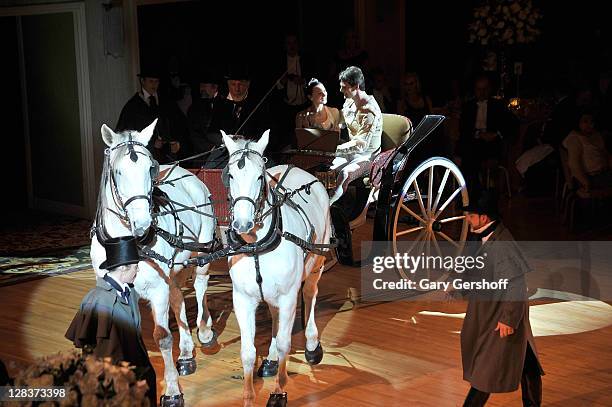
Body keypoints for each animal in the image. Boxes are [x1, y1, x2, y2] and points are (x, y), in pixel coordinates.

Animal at [89, 119, 216, 406]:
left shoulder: (157, 289)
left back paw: (204, 329)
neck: (126, 244)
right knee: (178, 296)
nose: (144, 226)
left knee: (200, 284)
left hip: (202, 250)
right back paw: (187, 353)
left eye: (151, 167)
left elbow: (163, 337)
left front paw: (171, 391)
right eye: (118, 171)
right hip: (174, 268)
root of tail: (185, 171)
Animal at [222, 131, 332, 407]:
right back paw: (271, 360)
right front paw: (249, 397)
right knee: (274, 313)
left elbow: (284, 343)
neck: (256, 246)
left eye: (260, 177)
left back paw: (312, 345)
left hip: (318, 260)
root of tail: (298, 167)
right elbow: (248, 352)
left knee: (310, 293)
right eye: (230, 176)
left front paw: (278, 391)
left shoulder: (288, 297)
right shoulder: (243, 299)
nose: (242, 223)